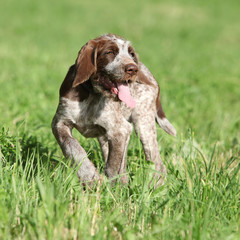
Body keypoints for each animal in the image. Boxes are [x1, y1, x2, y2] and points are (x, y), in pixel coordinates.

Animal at [52, 34, 176, 186]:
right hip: (106, 137)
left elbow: (113, 165)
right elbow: (72, 147)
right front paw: (89, 176)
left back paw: (156, 185)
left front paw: (111, 186)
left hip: (143, 125)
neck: (92, 92)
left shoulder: (120, 130)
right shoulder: (59, 123)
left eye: (131, 53)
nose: (133, 69)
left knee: (156, 162)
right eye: (110, 52)